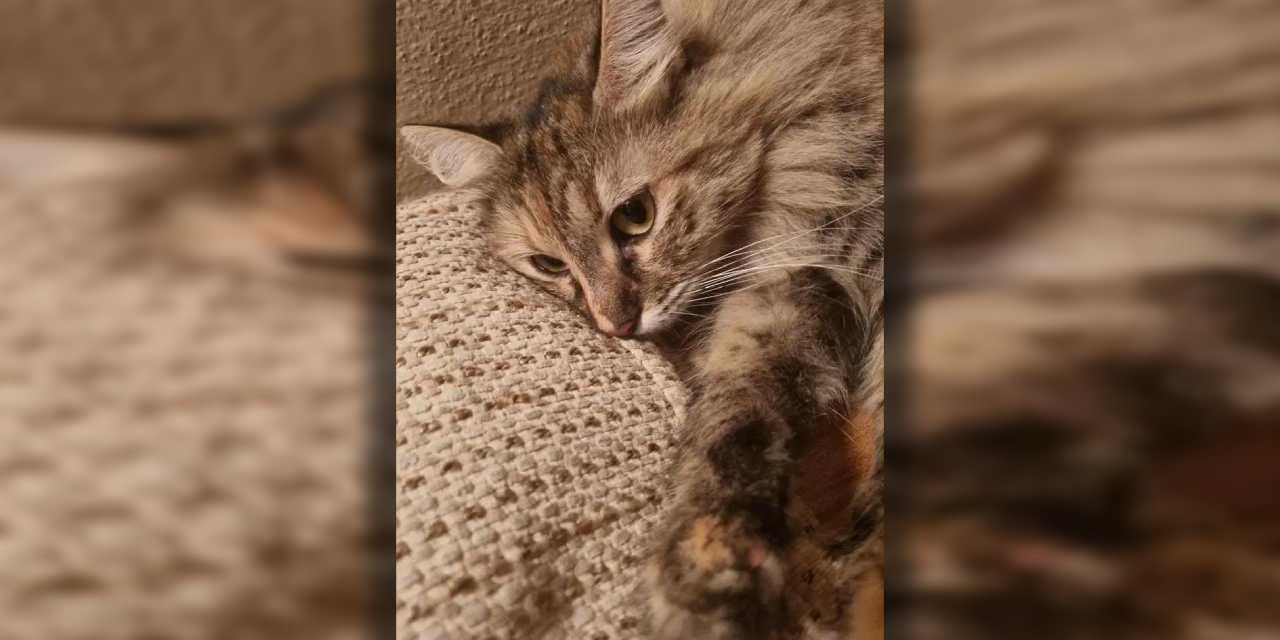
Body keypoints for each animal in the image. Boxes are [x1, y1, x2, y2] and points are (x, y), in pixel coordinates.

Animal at [402, 0, 883, 637]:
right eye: (550, 264)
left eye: (635, 215)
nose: (616, 326)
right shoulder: (775, 296)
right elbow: (732, 425)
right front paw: (706, 560)